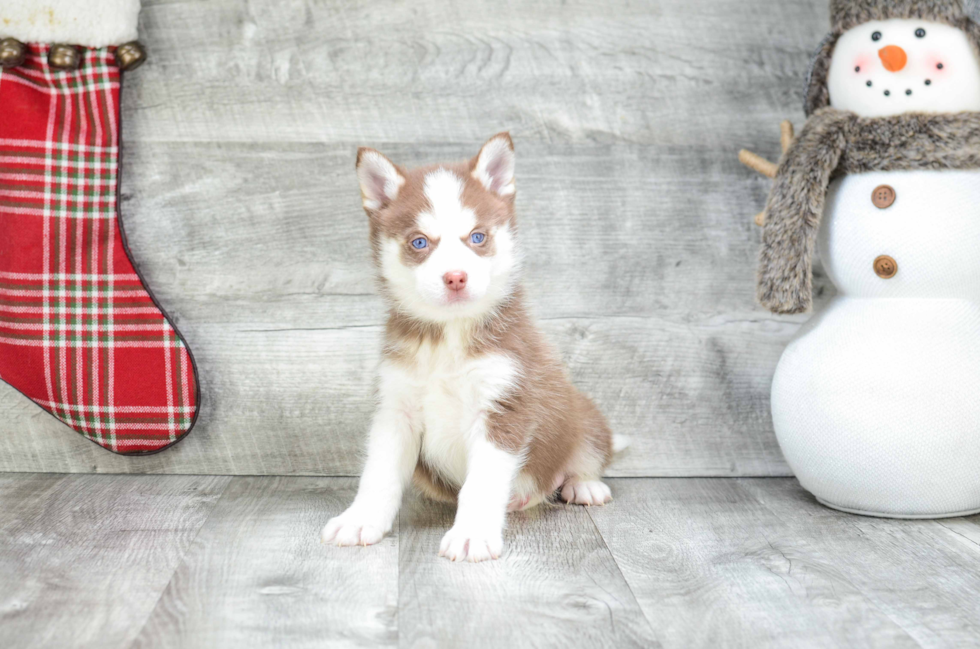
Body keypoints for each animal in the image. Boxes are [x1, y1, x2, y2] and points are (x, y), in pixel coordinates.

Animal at [324, 133, 628, 560]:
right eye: (420, 242)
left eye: (477, 237)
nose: (456, 277)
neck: (447, 338)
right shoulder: (396, 409)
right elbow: (378, 473)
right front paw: (360, 519)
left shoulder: (503, 406)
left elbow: (482, 484)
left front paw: (472, 534)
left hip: (580, 412)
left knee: (586, 452)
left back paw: (582, 483)